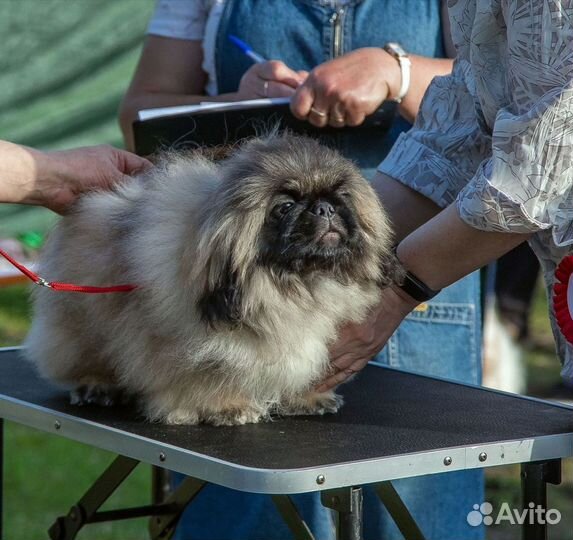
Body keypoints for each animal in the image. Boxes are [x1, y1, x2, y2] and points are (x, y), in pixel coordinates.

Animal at [24, 133, 400, 424]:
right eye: (284, 207)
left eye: (341, 196)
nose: (324, 208)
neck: (297, 284)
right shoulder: (185, 349)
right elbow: (208, 376)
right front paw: (226, 408)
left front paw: (306, 399)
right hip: (82, 325)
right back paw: (96, 386)